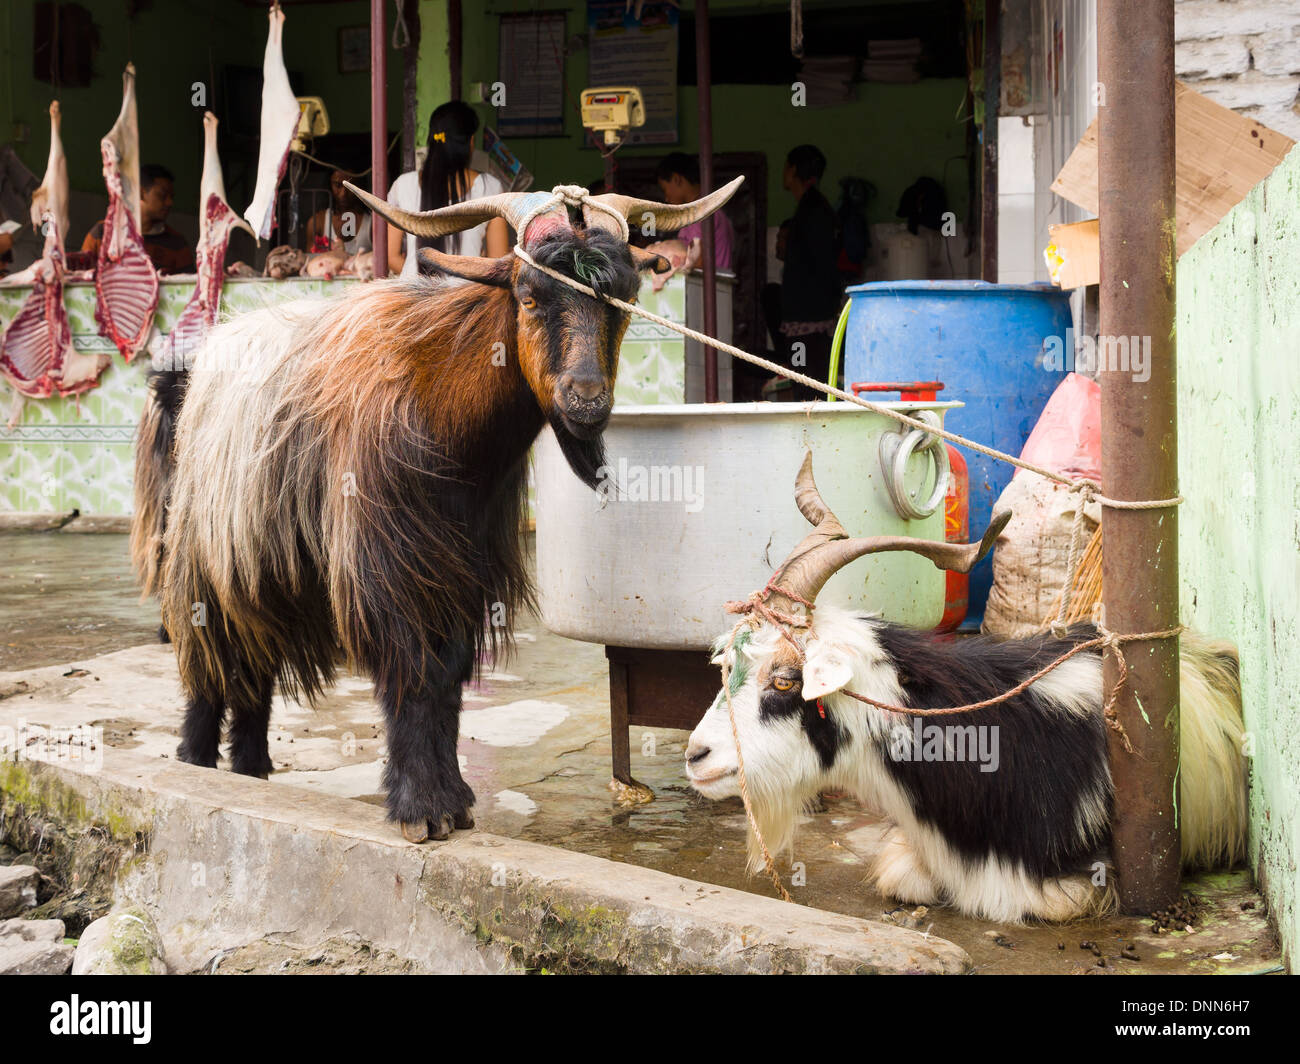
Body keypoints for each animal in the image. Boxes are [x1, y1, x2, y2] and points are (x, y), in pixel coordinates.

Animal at [130, 179, 741, 841]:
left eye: (625, 299)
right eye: (529, 296)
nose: (586, 401)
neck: (444, 419)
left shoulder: (464, 568)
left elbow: (446, 676)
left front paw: (455, 799)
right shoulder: (388, 562)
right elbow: (412, 669)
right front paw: (421, 807)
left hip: (266, 564)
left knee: (254, 663)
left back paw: (251, 769)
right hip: (202, 551)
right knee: (211, 660)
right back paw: (195, 762)